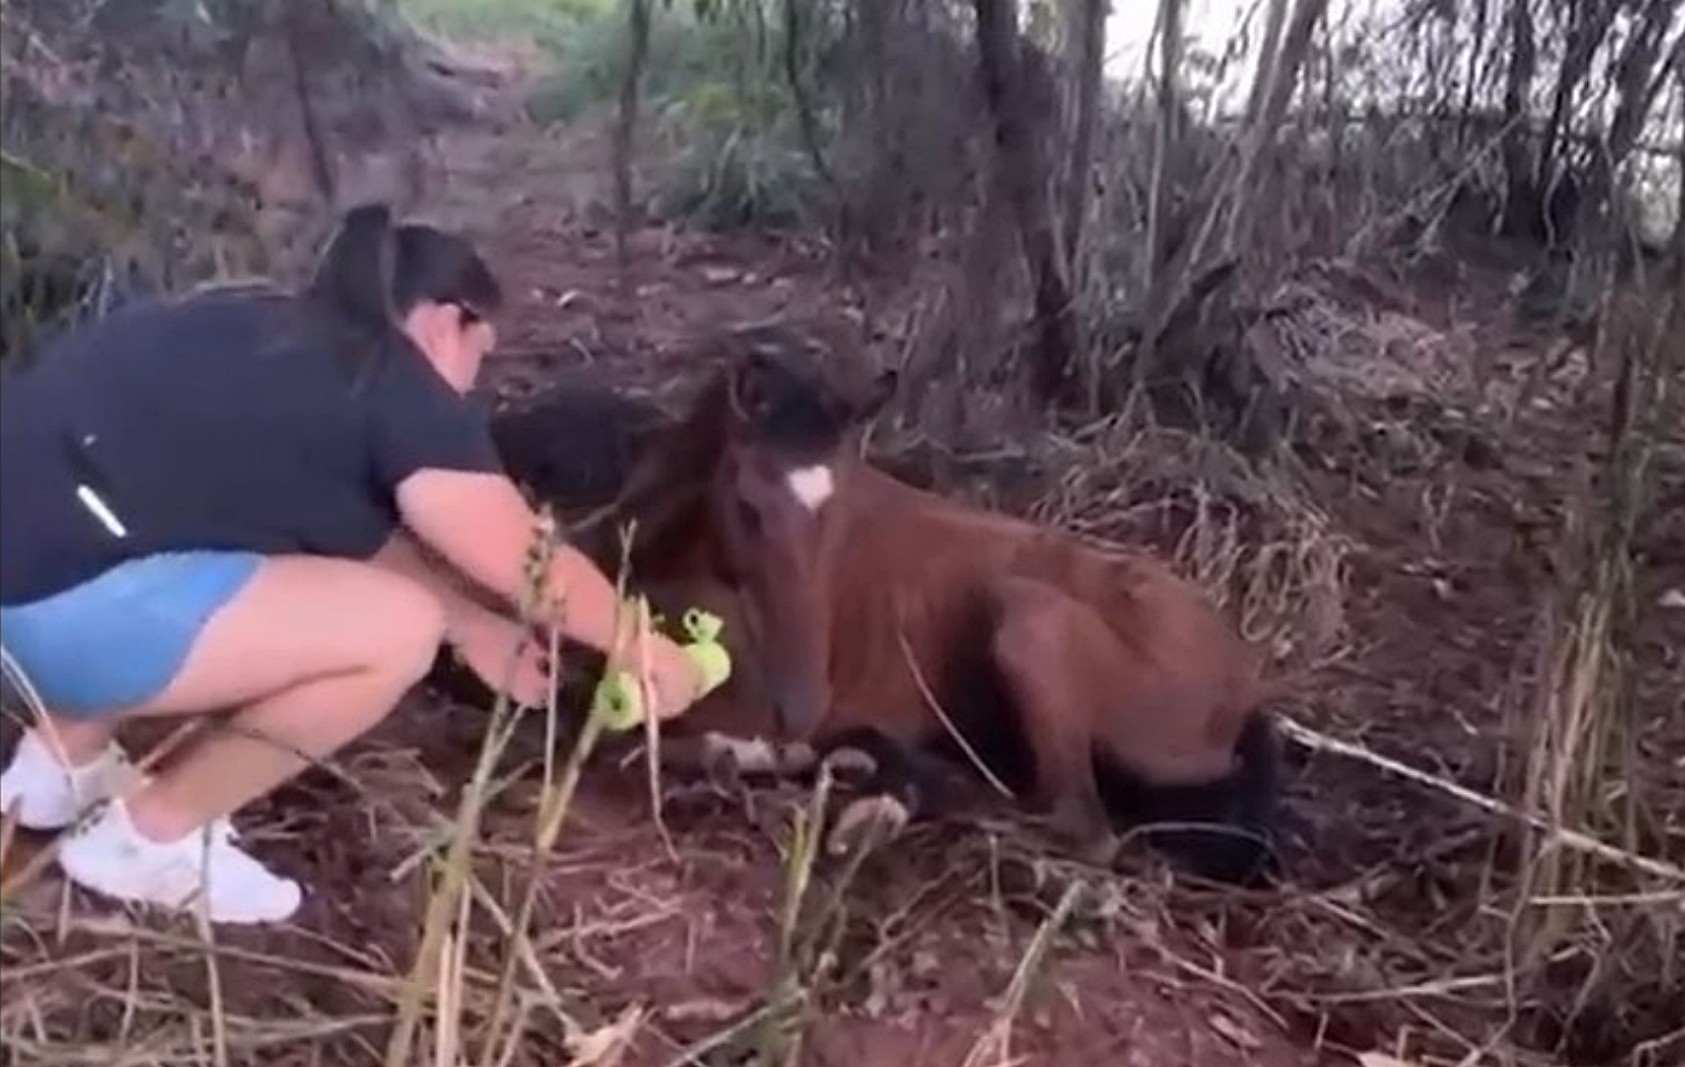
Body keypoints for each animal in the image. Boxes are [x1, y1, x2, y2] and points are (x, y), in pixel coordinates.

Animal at [487, 323, 1286, 886]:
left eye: (843, 516)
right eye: (747, 507)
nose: (803, 705)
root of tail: (1247, 689)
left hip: (1031, 620)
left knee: (1077, 823)